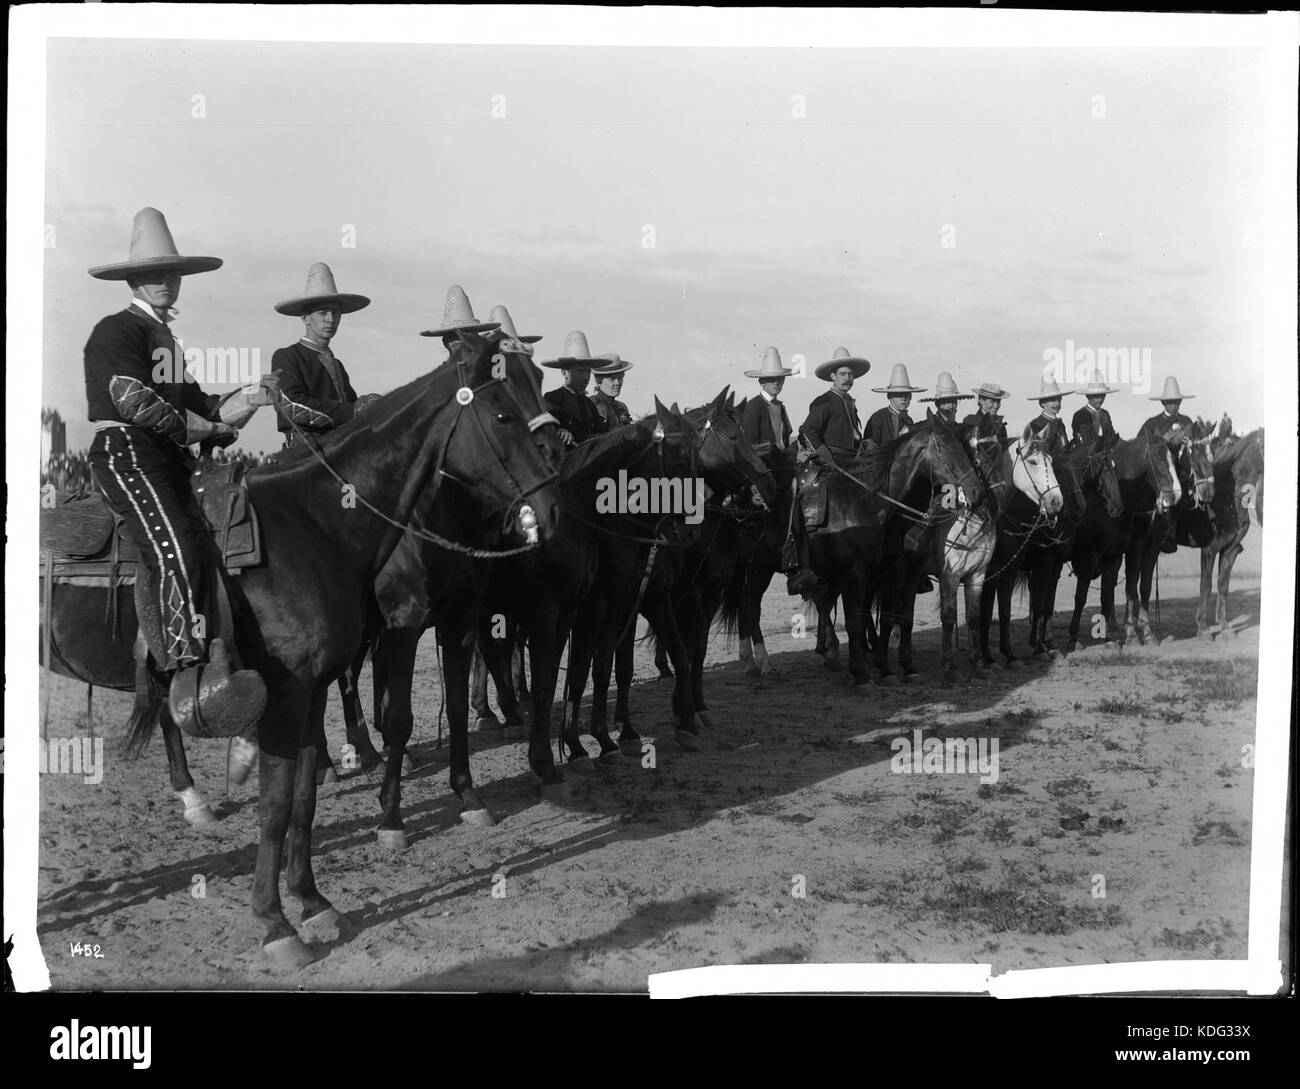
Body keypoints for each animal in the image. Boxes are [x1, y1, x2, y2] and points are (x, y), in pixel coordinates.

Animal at [41, 328, 564, 966]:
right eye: (503, 412)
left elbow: (303, 801)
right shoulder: (303, 689)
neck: (313, 527)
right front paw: (276, 924)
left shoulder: (323, 687)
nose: (552, 510)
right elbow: (276, 807)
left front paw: (313, 901)